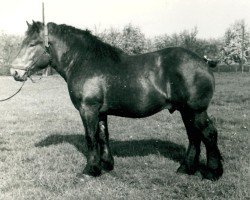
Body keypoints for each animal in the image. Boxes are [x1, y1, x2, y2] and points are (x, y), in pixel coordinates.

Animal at [9, 21, 223, 180]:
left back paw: (213, 173)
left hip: (195, 110)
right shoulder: (101, 111)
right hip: (186, 111)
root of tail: (203, 61)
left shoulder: (88, 109)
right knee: (194, 136)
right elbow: (103, 135)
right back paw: (186, 169)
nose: (14, 72)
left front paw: (90, 170)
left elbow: (91, 137)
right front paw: (106, 165)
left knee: (208, 134)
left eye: (32, 44)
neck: (84, 62)